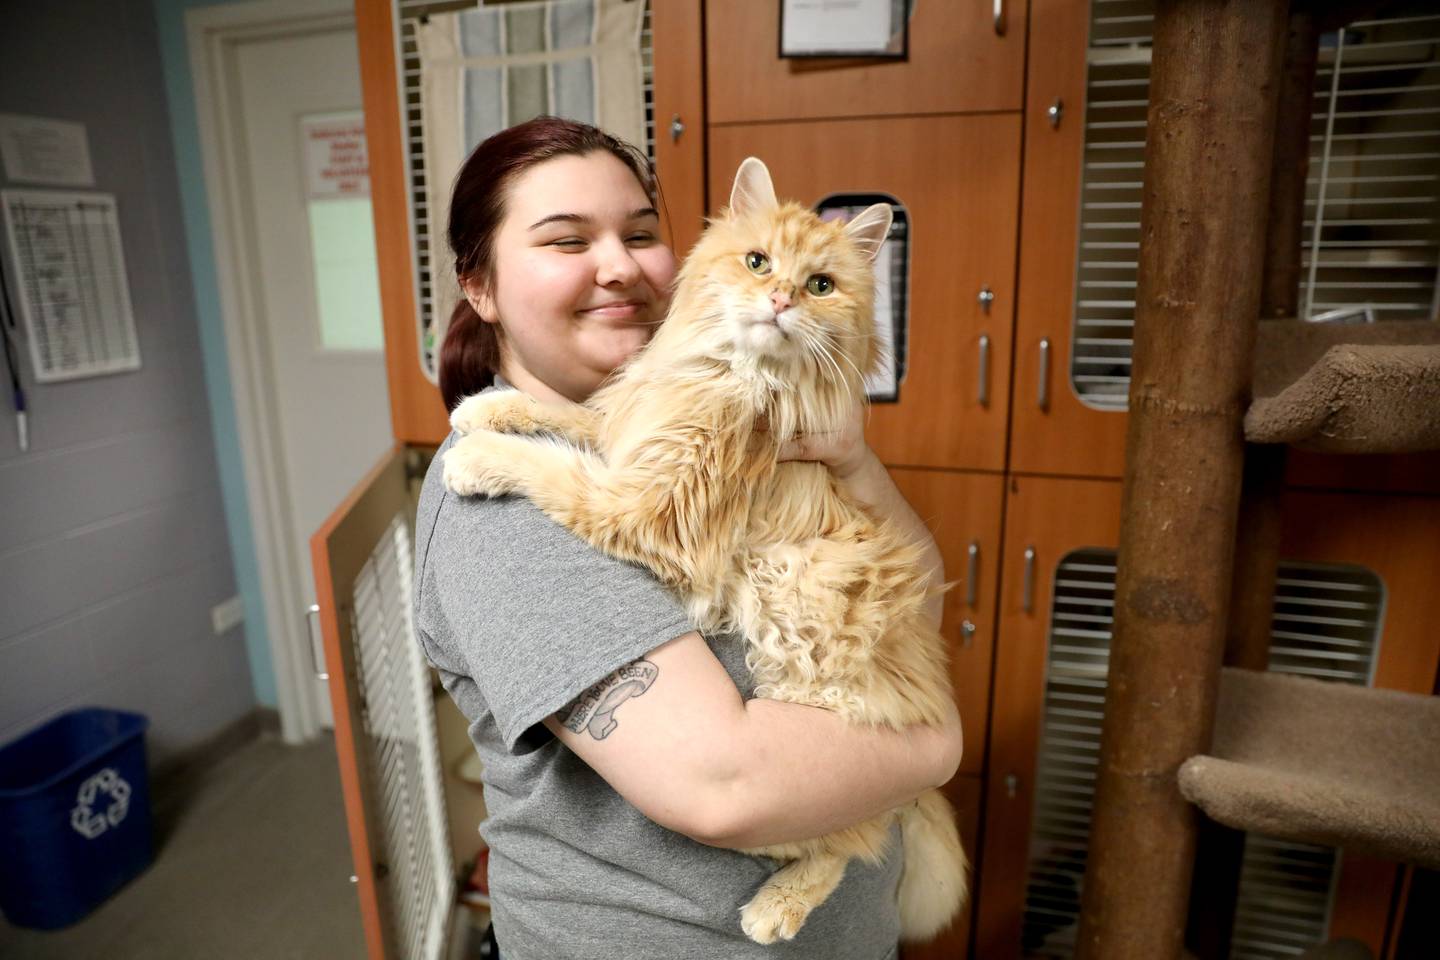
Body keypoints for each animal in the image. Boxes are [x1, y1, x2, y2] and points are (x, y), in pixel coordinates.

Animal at [443, 159, 973, 944]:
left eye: (820, 284)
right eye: (757, 263)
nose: (780, 300)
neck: (727, 374)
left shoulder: (646, 509)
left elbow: (553, 467)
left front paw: (477, 457)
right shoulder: (633, 432)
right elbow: (574, 417)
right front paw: (488, 405)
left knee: (856, 840)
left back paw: (776, 908)